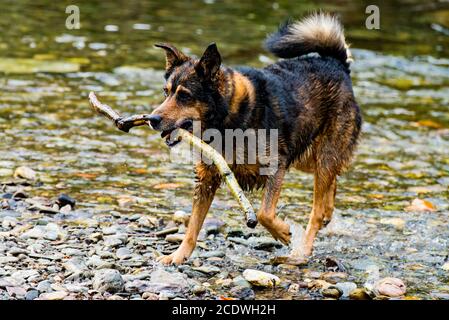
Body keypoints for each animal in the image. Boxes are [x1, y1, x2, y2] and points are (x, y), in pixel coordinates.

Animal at [149, 13, 362, 264]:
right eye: (166, 92)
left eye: (184, 96)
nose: (151, 119)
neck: (228, 118)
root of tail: (336, 63)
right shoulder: (207, 178)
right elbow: (193, 226)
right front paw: (178, 255)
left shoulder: (276, 165)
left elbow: (263, 213)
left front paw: (283, 232)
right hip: (304, 154)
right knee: (331, 179)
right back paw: (328, 212)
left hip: (323, 151)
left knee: (318, 206)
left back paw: (303, 250)